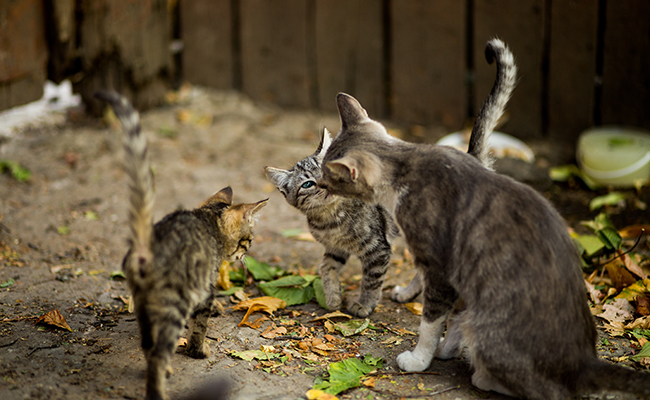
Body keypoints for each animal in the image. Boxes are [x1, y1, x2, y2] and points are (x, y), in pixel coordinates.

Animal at [94, 90, 266, 400]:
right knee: (158, 352)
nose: (246, 253)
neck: (208, 221)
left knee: (148, 345)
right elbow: (200, 325)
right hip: (173, 303)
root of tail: (146, 246)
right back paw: (160, 388)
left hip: (143, 304)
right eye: (248, 241)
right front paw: (198, 350)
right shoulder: (204, 286)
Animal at [260, 38, 512, 318]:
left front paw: (363, 305)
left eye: (327, 173)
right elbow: (325, 266)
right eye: (307, 184)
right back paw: (408, 293)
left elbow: (371, 280)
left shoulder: (377, 249)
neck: (329, 219)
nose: (324, 185)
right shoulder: (335, 249)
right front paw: (333, 297)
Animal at [318, 38, 648, 400]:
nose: (317, 185)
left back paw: (479, 373)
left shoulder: (442, 266)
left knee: (541, 388)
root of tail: (584, 362)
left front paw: (419, 359)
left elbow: (430, 321)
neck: (407, 161)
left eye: (327, 178)